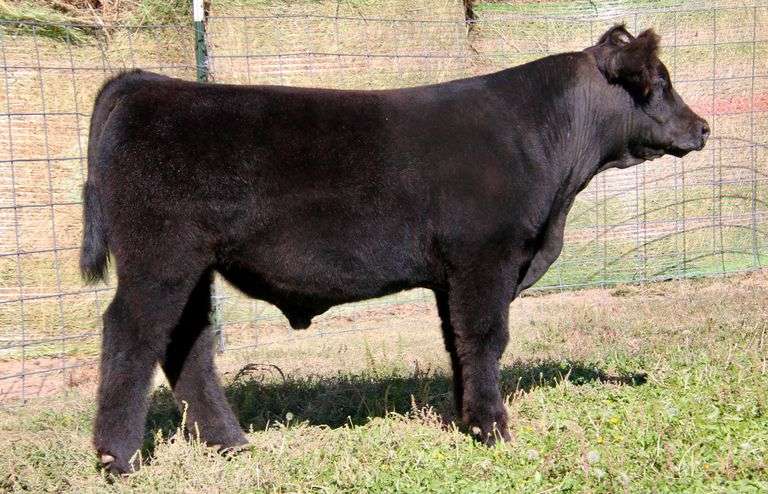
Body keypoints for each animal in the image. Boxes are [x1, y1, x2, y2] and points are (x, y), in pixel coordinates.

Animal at [81, 24, 709, 474]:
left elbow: (458, 344)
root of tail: (148, 84)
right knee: (131, 334)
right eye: (658, 84)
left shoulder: (453, 274)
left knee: (184, 343)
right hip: (160, 257)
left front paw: (468, 421)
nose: (702, 127)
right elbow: (485, 339)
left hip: (192, 266)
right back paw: (118, 459)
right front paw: (494, 429)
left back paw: (231, 444)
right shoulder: (485, 259)